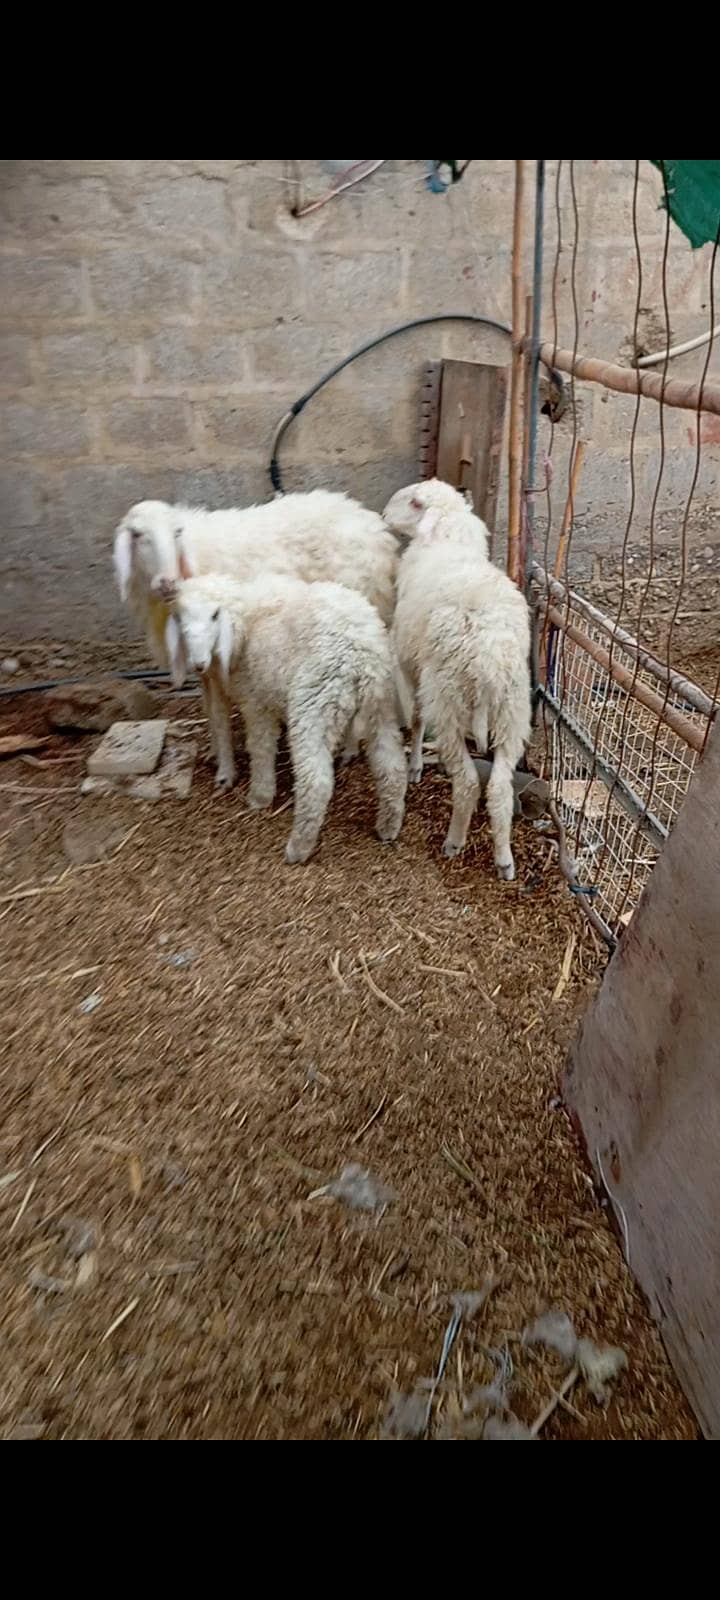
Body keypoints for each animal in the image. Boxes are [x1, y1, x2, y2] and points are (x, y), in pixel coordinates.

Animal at [157, 572, 407, 865]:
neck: (246, 619)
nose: (198, 664)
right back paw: (388, 827)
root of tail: (361, 655)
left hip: (314, 703)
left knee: (315, 782)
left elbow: (261, 747)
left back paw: (297, 849)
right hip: (381, 705)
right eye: (180, 617)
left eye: (215, 615)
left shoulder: (256, 702)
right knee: (391, 766)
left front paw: (260, 796)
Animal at [383, 478, 531, 881]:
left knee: (466, 782)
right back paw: (504, 859)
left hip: (448, 699)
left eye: (411, 502)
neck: (447, 542)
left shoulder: (410, 665)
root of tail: (488, 654)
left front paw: (415, 765)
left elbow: (416, 716)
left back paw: (454, 842)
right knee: (499, 789)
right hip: (513, 711)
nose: (383, 516)